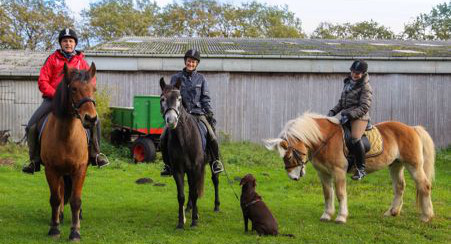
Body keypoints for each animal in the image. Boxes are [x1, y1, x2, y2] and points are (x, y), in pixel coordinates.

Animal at [40, 62, 97, 240]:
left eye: (94, 89)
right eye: (73, 89)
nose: (91, 118)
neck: (66, 136)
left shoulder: (80, 169)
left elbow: (76, 200)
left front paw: (75, 231)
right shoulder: (51, 170)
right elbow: (55, 198)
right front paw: (54, 228)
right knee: (61, 192)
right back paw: (59, 216)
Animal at [160, 77, 222, 229]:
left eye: (179, 98)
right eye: (162, 99)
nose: (171, 121)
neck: (184, 139)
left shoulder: (196, 167)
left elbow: (194, 193)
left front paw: (194, 221)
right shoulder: (178, 170)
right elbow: (181, 195)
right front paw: (180, 222)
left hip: (211, 162)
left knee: (215, 180)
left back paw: (216, 206)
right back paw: (188, 208)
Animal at [264, 112, 436, 223]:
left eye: (288, 156)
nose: (293, 177)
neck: (325, 140)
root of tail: (412, 128)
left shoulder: (338, 172)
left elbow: (340, 194)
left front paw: (341, 217)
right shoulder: (323, 173)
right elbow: (328, 194)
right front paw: (327, 215)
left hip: (413, 165)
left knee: (424, 186)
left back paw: (426, 216)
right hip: (396, 165)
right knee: (399, 187)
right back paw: (391, 212)